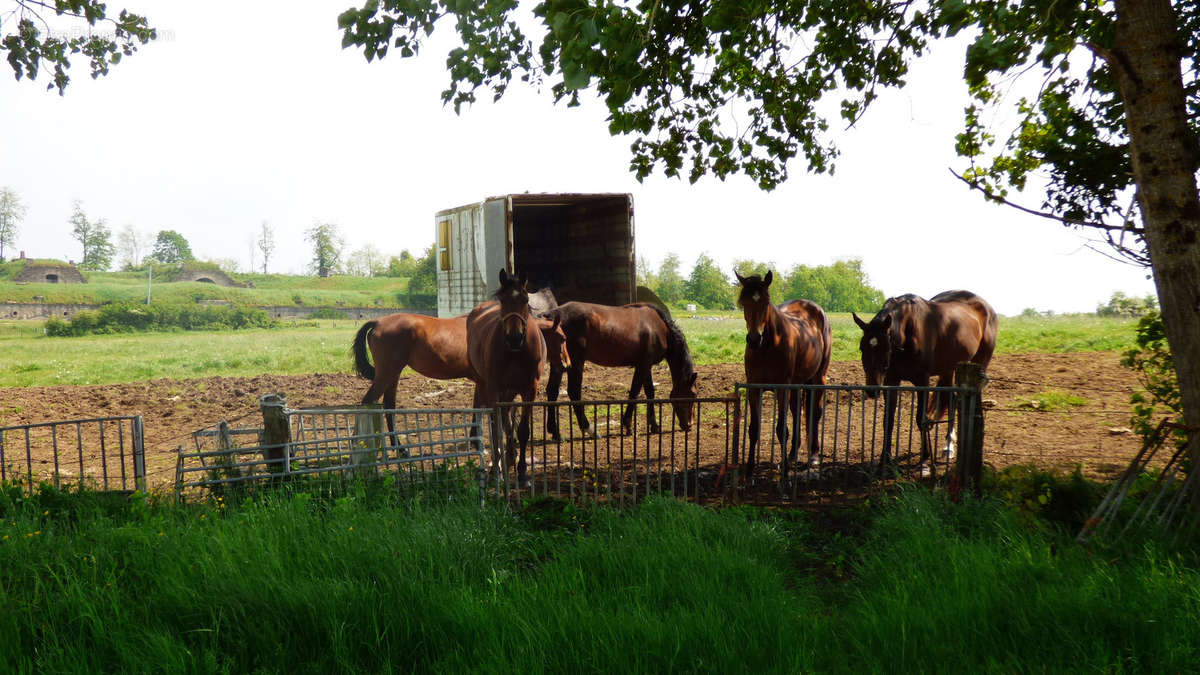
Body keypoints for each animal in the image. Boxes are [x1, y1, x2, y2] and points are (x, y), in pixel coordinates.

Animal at [465, 267, 554, 482]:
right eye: (503, 300)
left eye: (525, 299)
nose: (514, 338)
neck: (515, 352)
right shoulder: (494, 388)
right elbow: (497, 427)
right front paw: (496, 470)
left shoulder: (530, 389)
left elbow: (522, 430)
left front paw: (522, 471)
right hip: (487, 386)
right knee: (496, 421)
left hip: (510, 391)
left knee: (507, 419)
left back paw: (511, 456)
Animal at [542, 300, 700, 439]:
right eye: (692, 395)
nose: (689, 425)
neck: (659, 328)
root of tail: (554, 315)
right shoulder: (642, 365)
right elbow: (634, 393)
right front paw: (628, 425)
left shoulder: (646, 366)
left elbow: (650, 392)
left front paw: (654, 426)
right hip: (576, 362)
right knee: (574, 392)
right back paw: (590, 429)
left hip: (559, 363)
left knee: (552, 391)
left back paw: (555, 432)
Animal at [729, 267, 835, 478]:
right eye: (743, 302)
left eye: (765, 301)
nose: (754, 339)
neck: (767, 347)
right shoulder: (754, 388)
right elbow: (754, 428)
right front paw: (749, 471)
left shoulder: (782, 388)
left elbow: (781, 429)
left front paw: (785, 474)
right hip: (797, 384)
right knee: (797, 410)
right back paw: (793, 455)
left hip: (818, 377)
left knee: (815, 412)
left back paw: (813, 456)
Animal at [854, 289, 1003, 461]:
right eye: (862, 347)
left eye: (885, 347)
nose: (872, 390)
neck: (909, 331)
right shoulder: (891, 380)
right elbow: (888, 420)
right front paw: (885, 457)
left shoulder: (922, 381)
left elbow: (920, 418)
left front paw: (925, 455)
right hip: (948, 370)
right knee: (951, 400)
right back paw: (948, 445)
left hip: (979, 363)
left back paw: (949, 446)